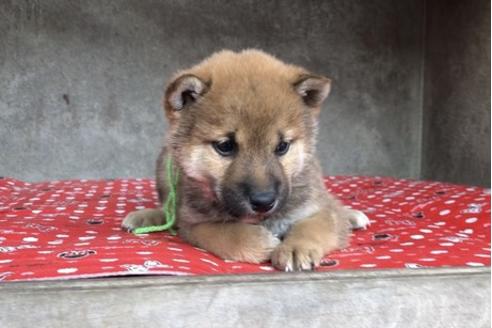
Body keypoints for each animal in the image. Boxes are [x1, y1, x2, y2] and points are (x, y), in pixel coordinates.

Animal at [123, 49, 368, 272]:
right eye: (225, 146)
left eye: (282, 146)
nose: (264, 201)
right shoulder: (193, 223)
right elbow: (222, 231)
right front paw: (257, 242)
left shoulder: (317, 209)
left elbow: (313, 226)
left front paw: (296, 248)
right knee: (168, 209)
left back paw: (351, 216)